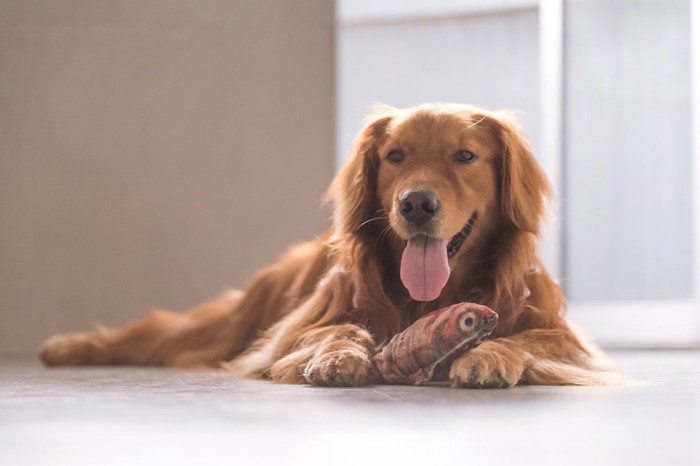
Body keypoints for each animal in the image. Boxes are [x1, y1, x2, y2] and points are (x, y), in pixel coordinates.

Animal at [39, 104, 612, 388]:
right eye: (396, 154)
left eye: (465, 155)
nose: (416, 204)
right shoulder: (289, 332)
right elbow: (336, 328)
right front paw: (339, 355)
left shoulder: (567, 339)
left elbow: (528, 339)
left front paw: (490, 354)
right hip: (235, 322)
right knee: (158, 331)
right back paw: (65, 346)